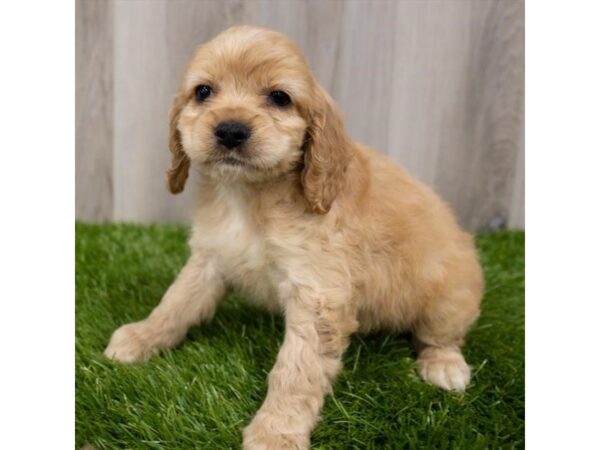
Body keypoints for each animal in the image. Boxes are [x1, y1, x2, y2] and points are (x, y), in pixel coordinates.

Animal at [105, 26, 486, 448]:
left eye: (279, 97)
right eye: (203, 91)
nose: (231, 130)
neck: (250, 196)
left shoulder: (318, 292)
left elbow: (296, 369)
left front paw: (276, 431)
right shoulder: (210, 257)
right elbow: (175, 302)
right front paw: (142, 336)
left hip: (451, 295)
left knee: (441, 336)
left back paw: (444, 367)